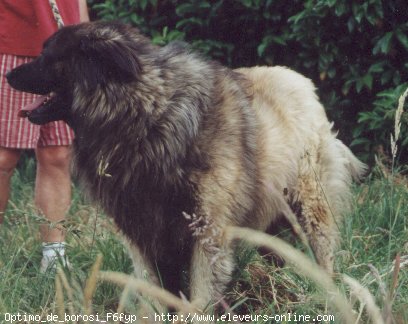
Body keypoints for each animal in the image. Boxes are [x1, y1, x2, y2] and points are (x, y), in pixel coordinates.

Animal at [6, 21, 364, 310]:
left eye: (48, 56)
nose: (7, 74)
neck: (143, 116)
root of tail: (303, 83)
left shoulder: (207, 232)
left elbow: (200, 294)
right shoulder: (143, 232)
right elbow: (153, 290)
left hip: (309, 205)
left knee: (322, 251)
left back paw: (323, 295)